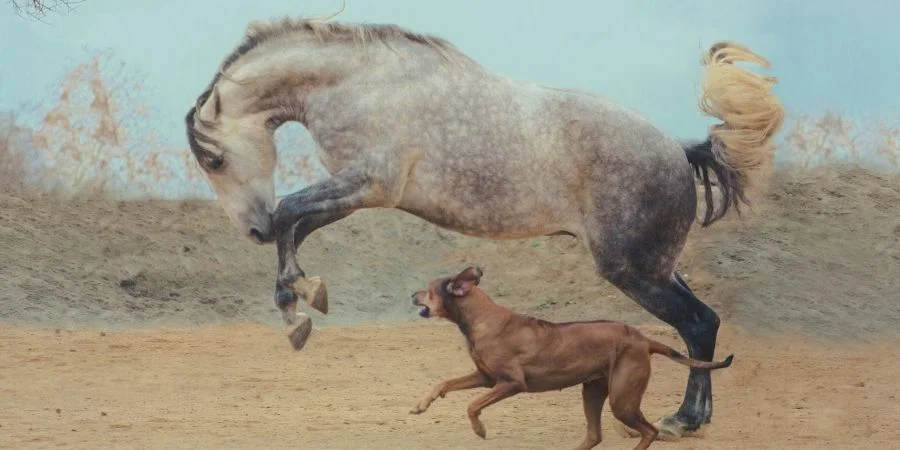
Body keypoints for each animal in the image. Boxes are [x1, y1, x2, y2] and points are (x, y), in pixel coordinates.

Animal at [184, 16, 784, 440]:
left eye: (214, 160)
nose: (254, 230)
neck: (362, 84)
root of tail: (681, 152)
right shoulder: (361, 193)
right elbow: (298, 225)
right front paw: (301, 303)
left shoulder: (366, 182)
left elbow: (290, 211)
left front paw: (298, 309)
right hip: (657, 267)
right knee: (703, 324)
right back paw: (695, 417)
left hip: (634, 270)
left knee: (696, 322)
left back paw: (684, 419)